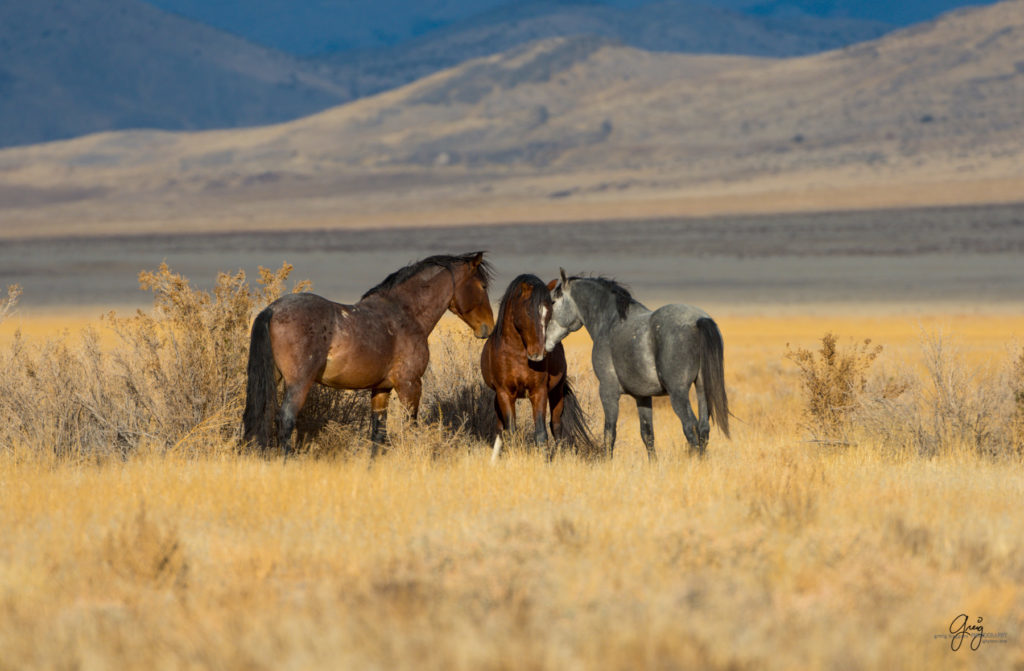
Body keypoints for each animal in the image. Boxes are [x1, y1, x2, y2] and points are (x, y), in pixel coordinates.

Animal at [241, 248, 493, 458]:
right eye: (483, 286)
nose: (488, 327)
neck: (405, 314)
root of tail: (272, 309)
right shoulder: (410, 384)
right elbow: (410, 427)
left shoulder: (381, 389)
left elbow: (378, 433)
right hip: (299, 383)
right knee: (286, 419)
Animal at [483, 272, 598, 463]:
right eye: (528, 312)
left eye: (549, 313)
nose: (539, 353)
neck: (516, 354)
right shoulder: (504, 393)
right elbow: (510, 431)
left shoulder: (539, 392)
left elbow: (541, 433)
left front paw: (545, 462)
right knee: (500, 428)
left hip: (556, 392)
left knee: (556, 426)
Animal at [544, 268, 729, 463]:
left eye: (553, 302)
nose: (545, 341)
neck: (610, 321)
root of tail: (699, 320)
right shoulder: (643, 396)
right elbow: (647, 435)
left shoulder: (608, 391)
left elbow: (610, 432)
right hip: (701, 388)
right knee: (703, 429)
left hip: (678, 393)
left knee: (690, 426)